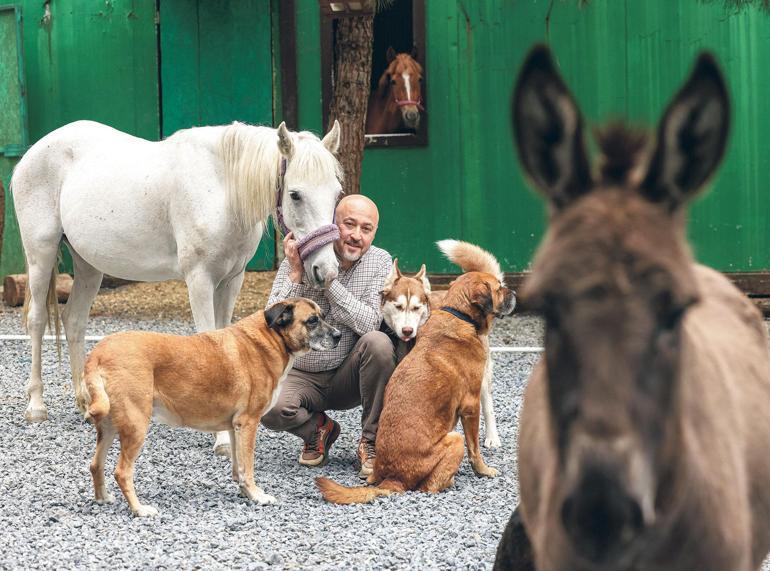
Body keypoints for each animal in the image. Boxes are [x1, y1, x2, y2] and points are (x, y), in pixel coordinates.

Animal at [11, 117, 342, 456]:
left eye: (336, 194)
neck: (222, 187)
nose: (327, 270)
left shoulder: (232, 280)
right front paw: (222, 440)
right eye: (295, 194)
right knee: (37, 321)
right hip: (41, 254)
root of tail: (33, 153)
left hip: (89, 266)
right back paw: (36, 405)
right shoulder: (199, 279)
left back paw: (87, 403)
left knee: (74, 321)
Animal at [80, 300, 340, 520]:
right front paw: (257, 495)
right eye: (312, 320)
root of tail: (97, 353)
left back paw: (103, 498)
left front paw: (245, 492)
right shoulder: (248, 423)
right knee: (122, 472)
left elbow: (238, 466)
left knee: (96, 464)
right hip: (136, 426)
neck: (272, 338)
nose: (338, 335)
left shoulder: (236, 427)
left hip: (110, 426)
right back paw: (139, 509)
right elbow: (248, 466)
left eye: (323, 316)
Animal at [316, 250, 512, 504]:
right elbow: (474, 449)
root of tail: (392, 478)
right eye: (499, 288)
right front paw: (483, 470)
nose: (514, 293)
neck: (458, 314)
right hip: (455, 439)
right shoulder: (470, 406)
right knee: (429, 486)